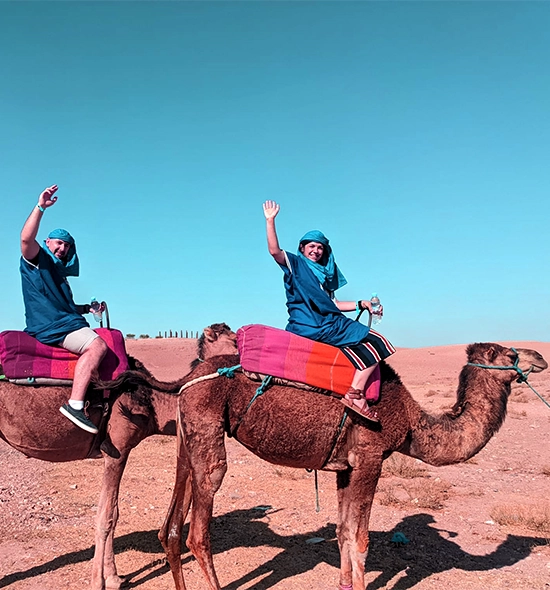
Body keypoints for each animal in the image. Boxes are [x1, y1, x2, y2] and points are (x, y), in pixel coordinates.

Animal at [0, 324, 236, 590]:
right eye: (235, 340)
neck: (152, 402)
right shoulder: (117, 449)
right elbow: (107, 516)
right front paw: (97, 582)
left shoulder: (119, 452)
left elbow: (114, 511)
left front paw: (114, 577)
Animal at [112, 342, 548, 590]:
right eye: (511, 354)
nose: (541, 357)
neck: (411, 422)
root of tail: (188, 376)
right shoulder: (370, 456)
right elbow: (362, 538)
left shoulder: (344, 467)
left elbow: (341, 532)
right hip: (208, 432)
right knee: (199, 533)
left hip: (189, 437)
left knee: (170, 528)